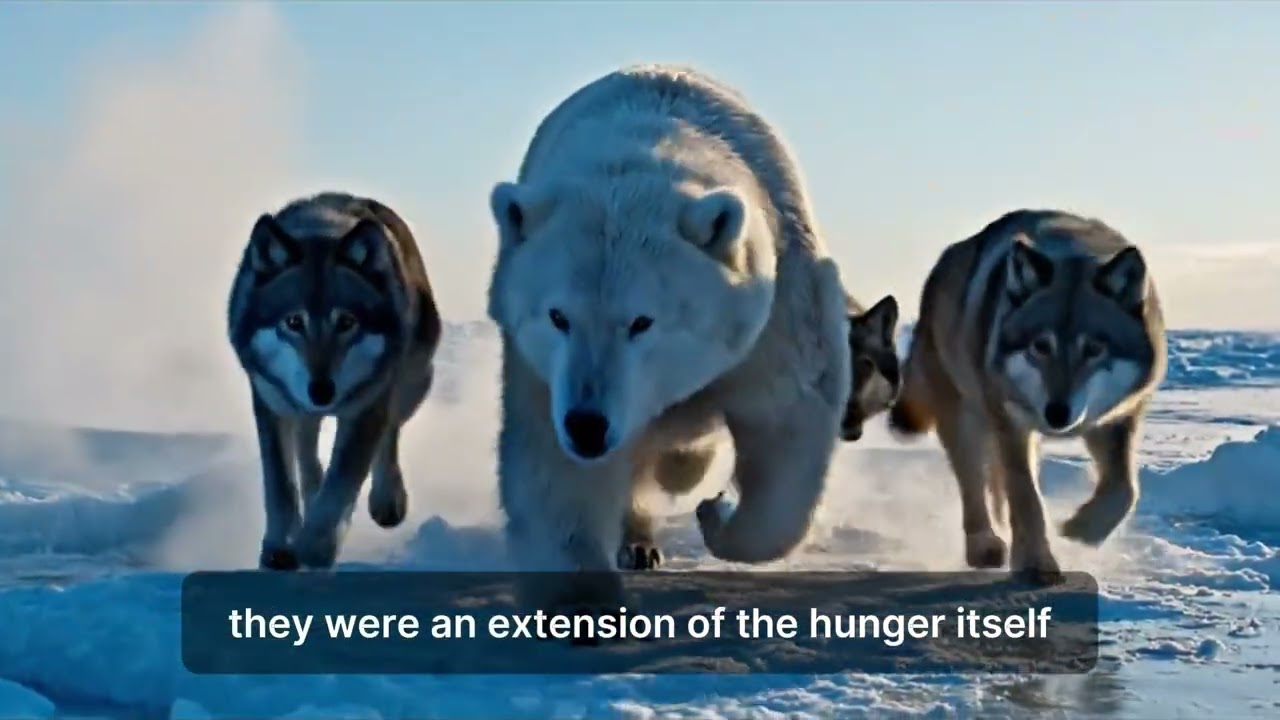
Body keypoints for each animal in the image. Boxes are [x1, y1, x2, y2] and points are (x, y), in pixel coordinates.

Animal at [485, 64, 852, 613]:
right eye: (557, 316)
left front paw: (717, 514)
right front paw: (582, 604)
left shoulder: (779, 310)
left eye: (642, 321)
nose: (588, 426)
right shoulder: (542, 371)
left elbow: (789, 421)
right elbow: (554, 470)